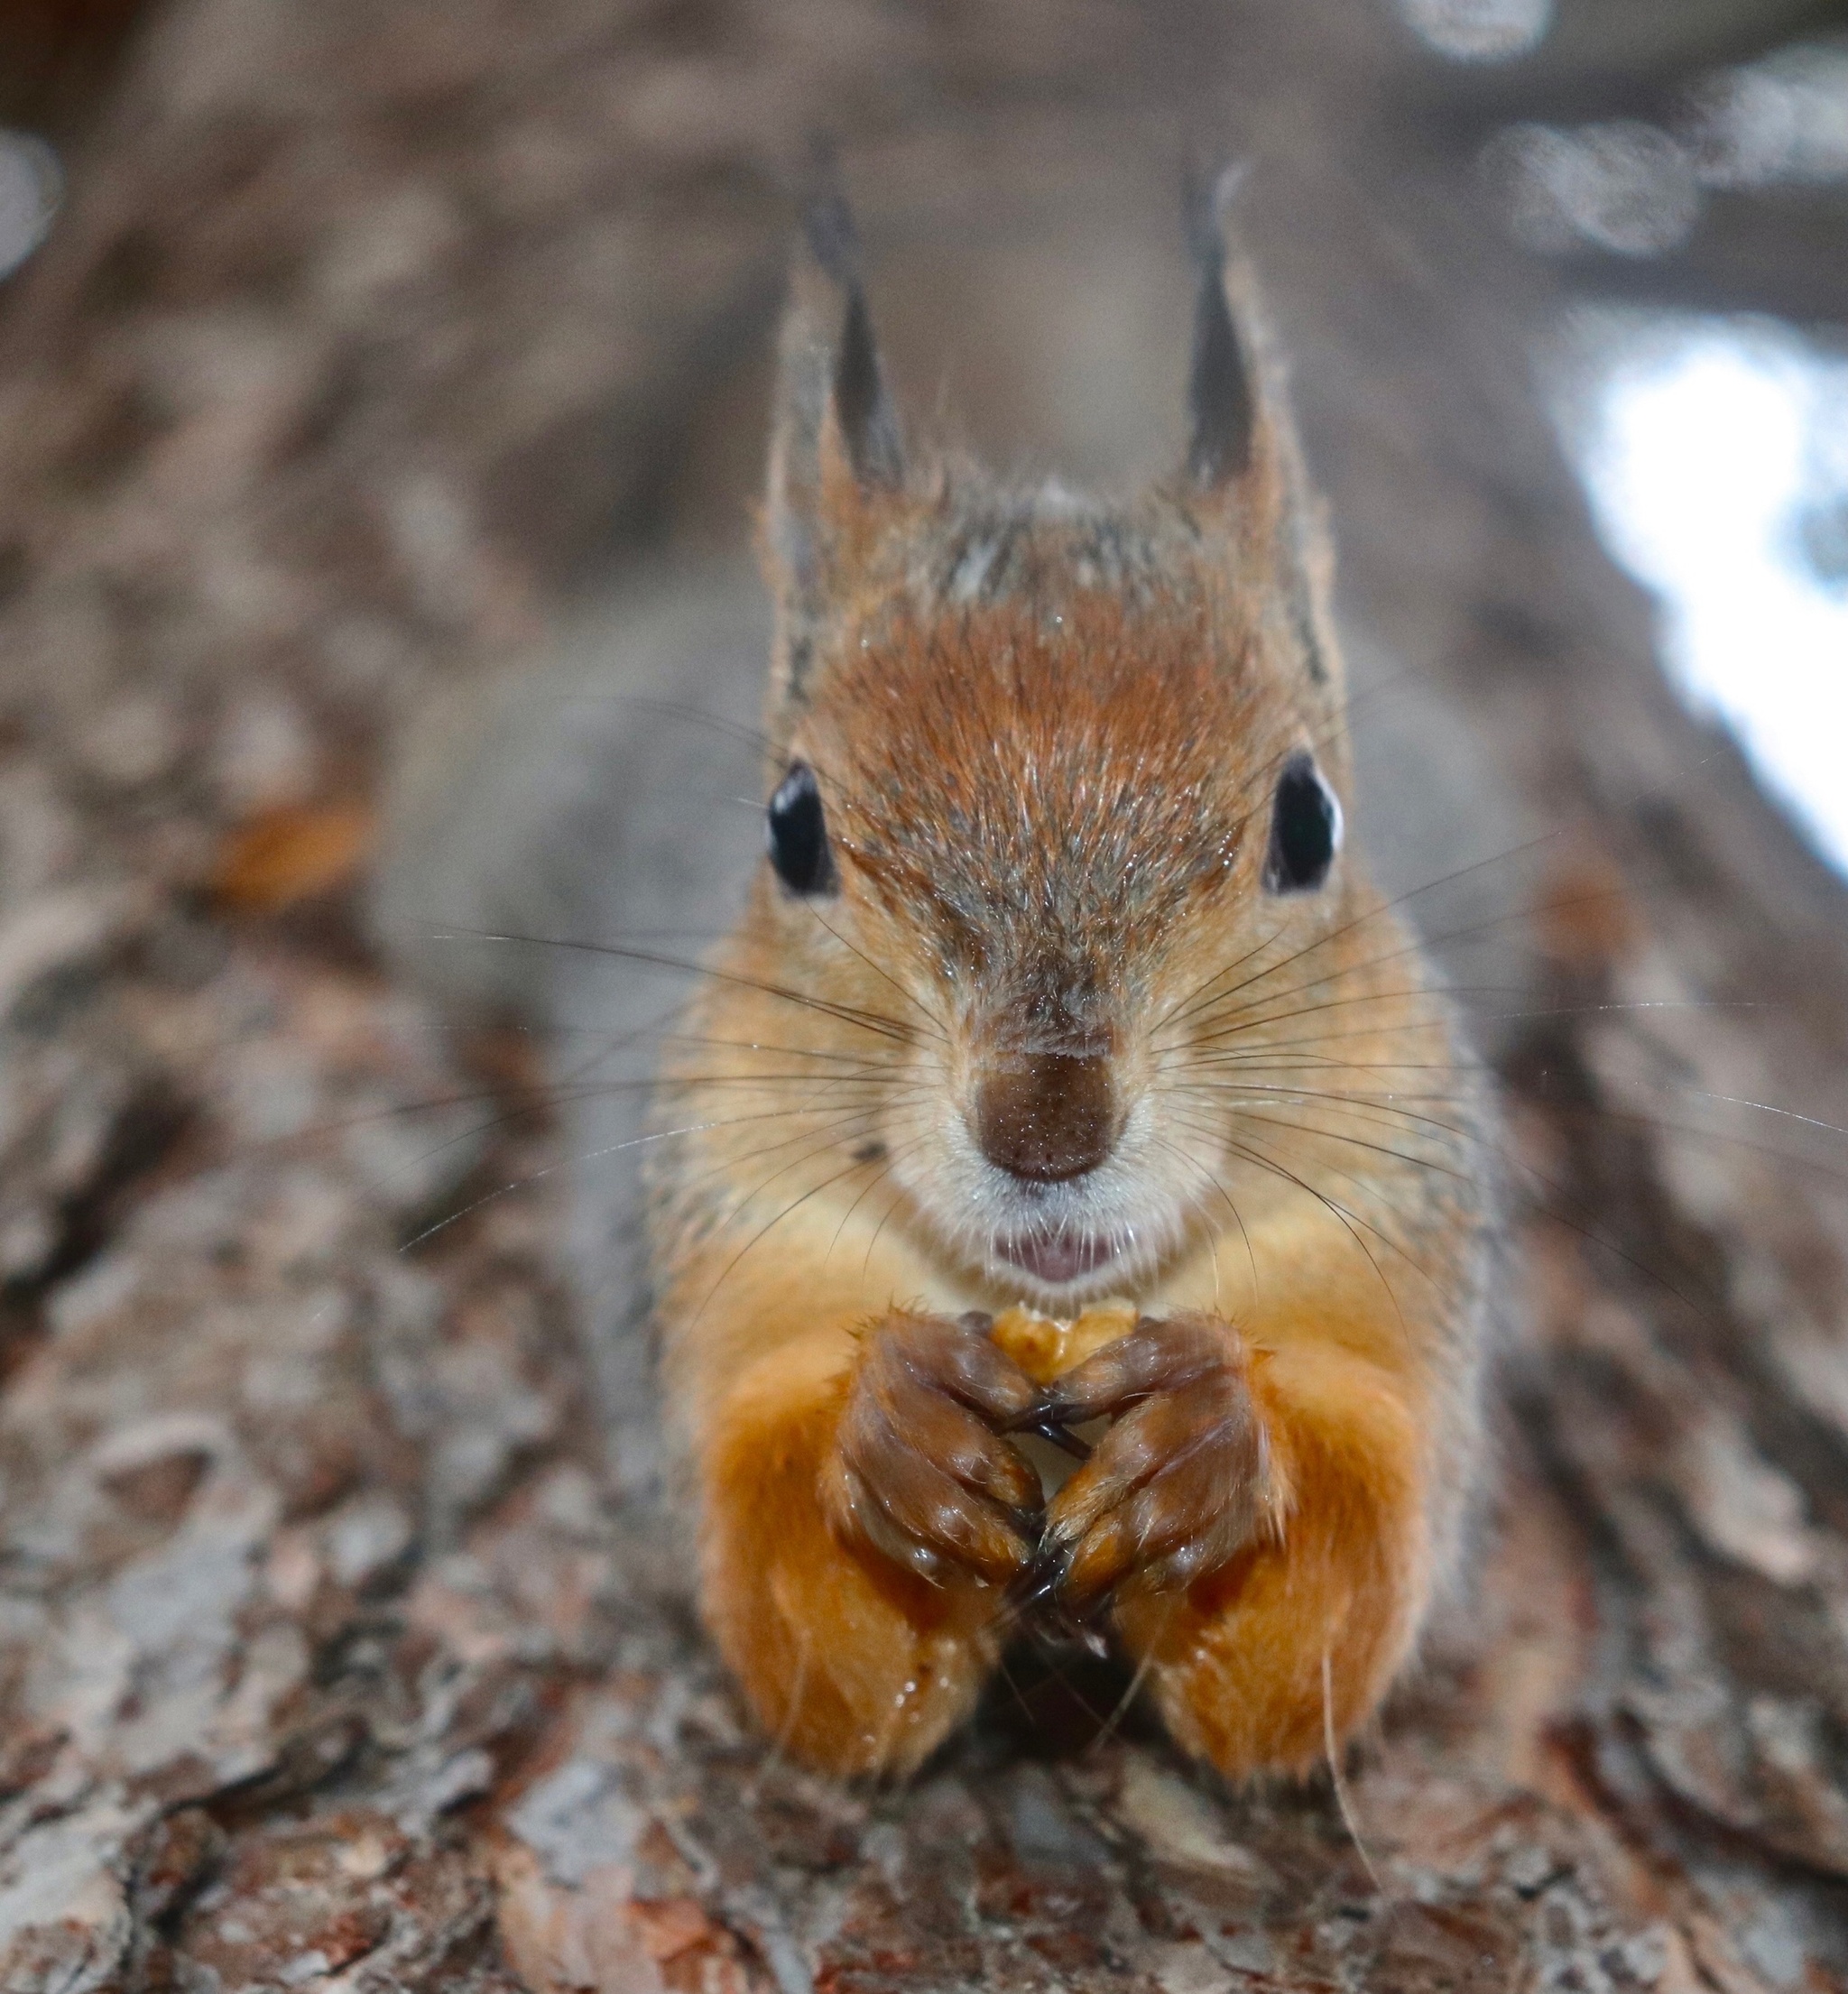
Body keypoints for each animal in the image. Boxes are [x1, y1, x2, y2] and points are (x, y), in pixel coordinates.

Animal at [642, 179, 1499, 1786]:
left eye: (1311, 820)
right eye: (791, 827)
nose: (1046, 1130)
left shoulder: (1378, 1247)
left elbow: (1321, 1632)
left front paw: (1214, 1437)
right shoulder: (752, 1244)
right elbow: (805, 1632)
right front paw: (889, 1427)